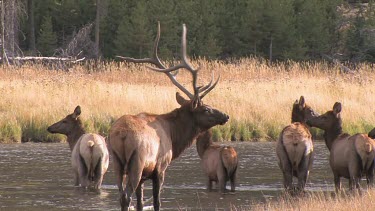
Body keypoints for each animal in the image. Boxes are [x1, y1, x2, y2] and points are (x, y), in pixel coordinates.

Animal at [110, 22, 231, 210]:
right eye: (206, 109)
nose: (225, 116)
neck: (174, 137)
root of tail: (121, 134)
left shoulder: (144, 176)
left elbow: (140, 203)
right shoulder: (160, 167)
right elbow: (157, 201)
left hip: (116, 163)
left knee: (121, 195)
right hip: (137, 162)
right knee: (126, 197)